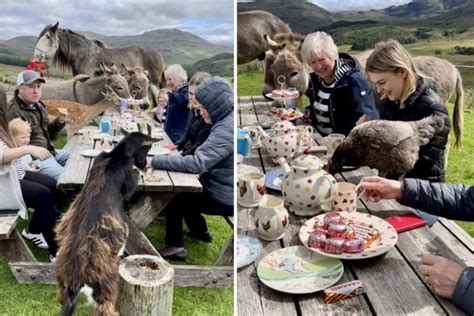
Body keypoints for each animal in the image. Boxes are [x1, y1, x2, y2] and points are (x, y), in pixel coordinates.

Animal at [55, 132, 152, 314]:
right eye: (147, 148)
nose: (144, 165)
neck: (116, 156)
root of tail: (75, 280)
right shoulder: (128, 180)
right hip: (106, 289)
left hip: (62, 289)